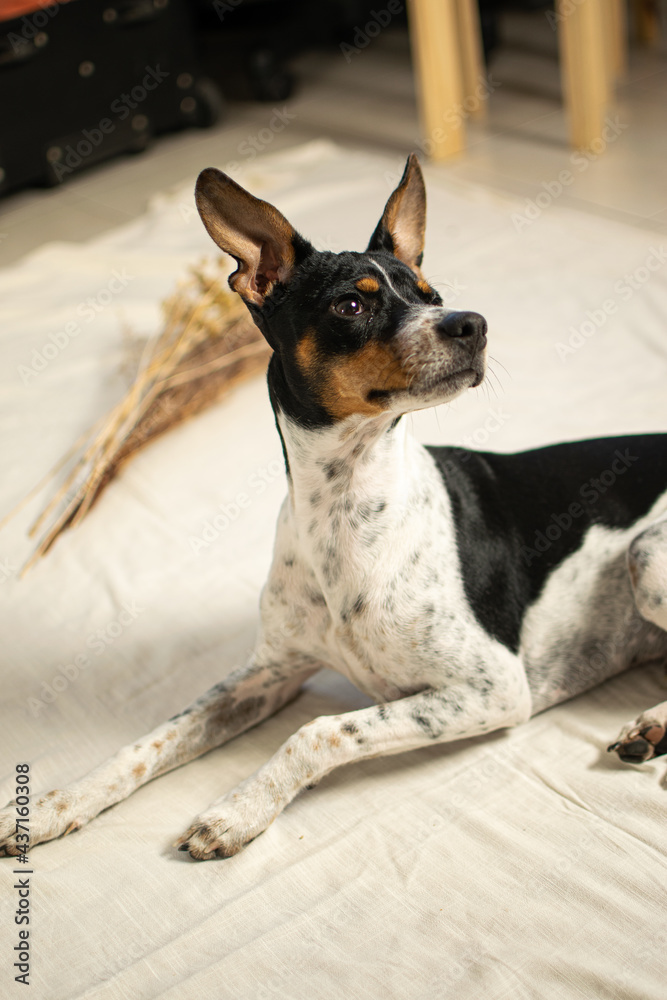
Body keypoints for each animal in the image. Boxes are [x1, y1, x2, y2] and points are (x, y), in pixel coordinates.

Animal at [1, 156, 667, 860]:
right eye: (352, 304)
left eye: (432, 295)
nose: (473, 323)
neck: (347, 509)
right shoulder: (268, 673)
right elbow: (148, 742)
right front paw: (55, 805)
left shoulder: (492, 687)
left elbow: (318, 729)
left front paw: (239, 809)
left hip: (645, 553)